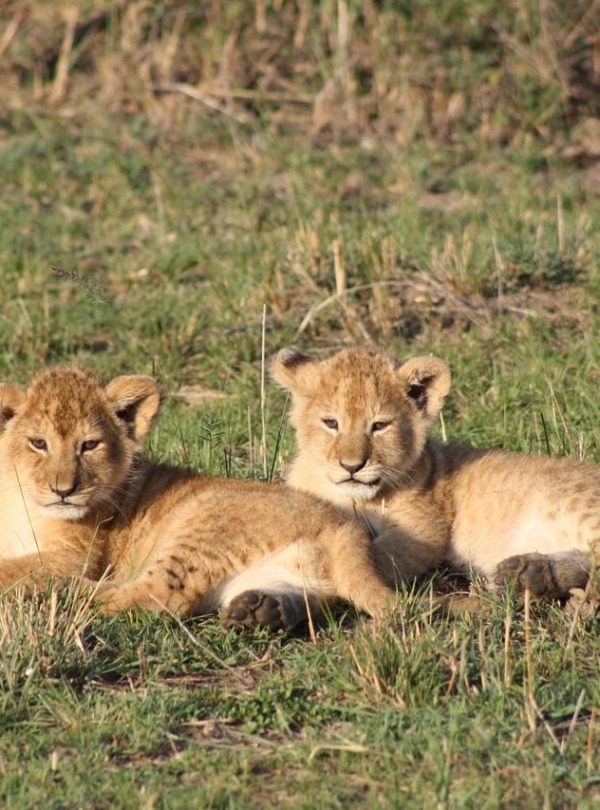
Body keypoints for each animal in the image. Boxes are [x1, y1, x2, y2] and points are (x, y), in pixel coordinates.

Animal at [0, 366, 395, 631]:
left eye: (89, 445)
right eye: (38, 443)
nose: (63, 491)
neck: (18, 498)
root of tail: (344, 526)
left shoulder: (76, 556)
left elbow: (14, 568)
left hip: (202, 523)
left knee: (160, 594)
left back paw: (58, 598)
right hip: (284, 575)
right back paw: (260, 611)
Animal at [272, 347, 595, 599]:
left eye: (380, 426)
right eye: (331, 423)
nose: (352, 466)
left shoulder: (425, 530)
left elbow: (373, 557)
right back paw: (529, 574)